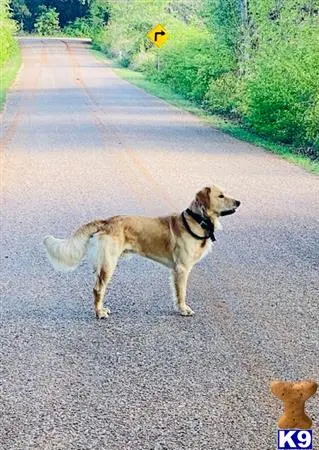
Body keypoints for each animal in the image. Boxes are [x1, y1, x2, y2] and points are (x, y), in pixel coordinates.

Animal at [43, 186, 241, 320]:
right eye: (221, 195)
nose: (239, 202)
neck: (197, 219)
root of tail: (107, 221)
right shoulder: (182, 268)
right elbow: (182, 292)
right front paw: (184, 309)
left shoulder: (176, 270)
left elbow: (177, 292)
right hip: (108, 264)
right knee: (97, 289)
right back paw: (99, 312)